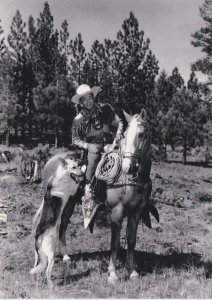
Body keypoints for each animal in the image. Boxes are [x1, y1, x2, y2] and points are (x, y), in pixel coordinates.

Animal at [30, 107, 158, 286]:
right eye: (125, 135)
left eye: (141, 134)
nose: (128, 166)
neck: (128, 180)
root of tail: (52, 160)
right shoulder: (117, 212)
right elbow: (115, 242)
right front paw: (112, 274)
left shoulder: (136, 212)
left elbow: (131, 240)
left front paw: (132, 271)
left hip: (69, 202)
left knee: (63, 225)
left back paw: (65, 256)